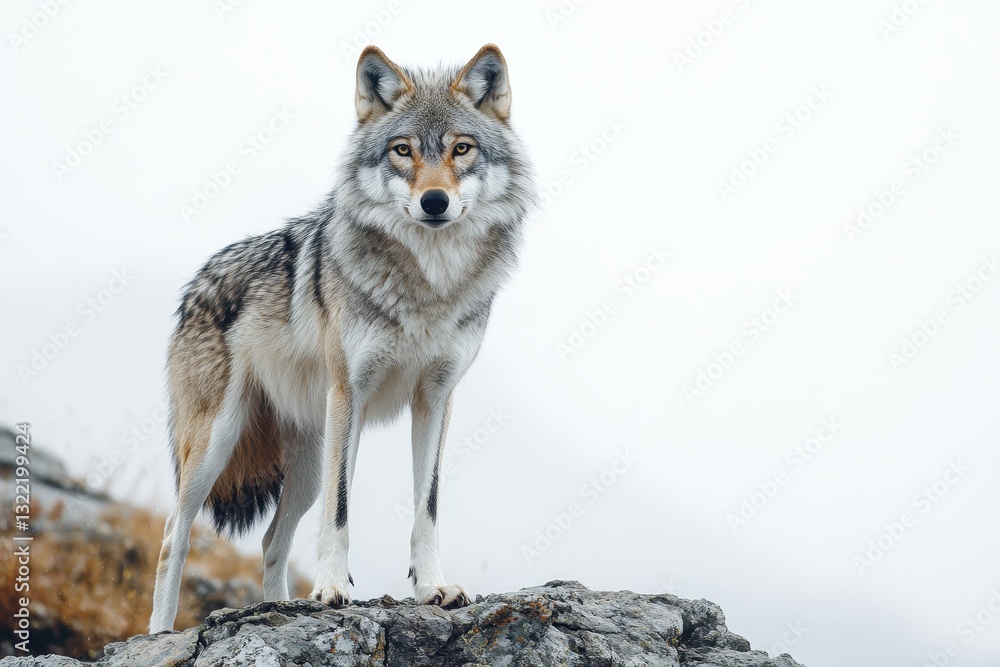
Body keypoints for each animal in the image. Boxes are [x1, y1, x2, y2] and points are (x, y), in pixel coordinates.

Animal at [148, 44, 535, 633]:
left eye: (461, 148)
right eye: (403, 150)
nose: (435, 201)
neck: (428, 286)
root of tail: (196, 284)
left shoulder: (437, 398)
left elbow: (427, 506)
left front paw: (434, 587)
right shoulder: (349, 392)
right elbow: (342, 510)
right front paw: (331, 589)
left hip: (307, 465)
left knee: (271, 541)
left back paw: (278, 606)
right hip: (218, 446)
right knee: (174, 536)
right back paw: (158, 634)